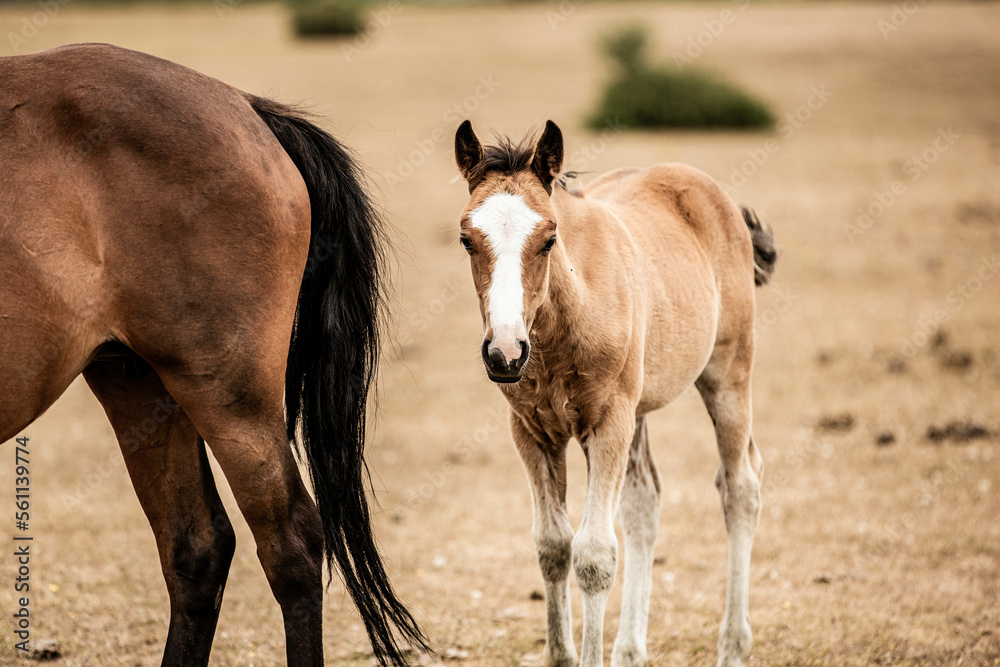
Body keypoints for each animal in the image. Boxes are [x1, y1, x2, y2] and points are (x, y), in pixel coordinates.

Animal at [453, 120, 777, 667]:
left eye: (549, 238)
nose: (505, 352)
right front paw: (561, 656)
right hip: (639, 410)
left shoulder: (608, 424)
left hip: (728, 373)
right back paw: (629, 649)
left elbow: (594, 556)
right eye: (466, 239)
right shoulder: (532, 433)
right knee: (644, 501)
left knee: (740, 487)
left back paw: (734, 646)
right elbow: (552, 546)